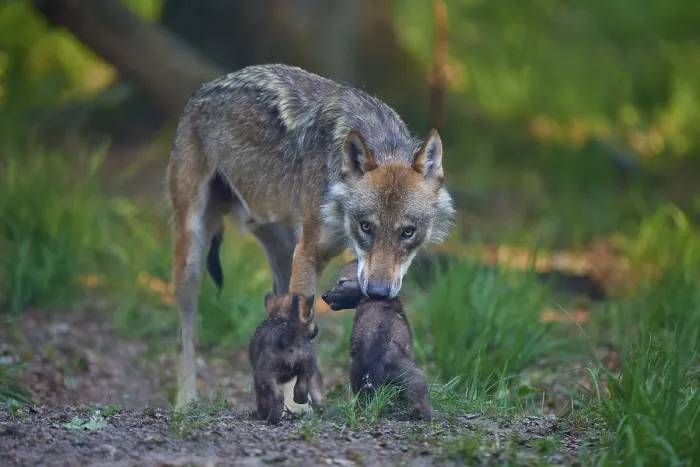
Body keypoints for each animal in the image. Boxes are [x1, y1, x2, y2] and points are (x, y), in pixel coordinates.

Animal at [248, 291, 325, 424]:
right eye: (311, 316)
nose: (317, 329)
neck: (281, 316)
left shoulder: (257, 380)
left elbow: (261, 399)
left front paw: (262, 413)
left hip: (264, 375)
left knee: (278, 397)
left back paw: (272, 418)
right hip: (308, 366)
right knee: (302, 387)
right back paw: (301, 399)